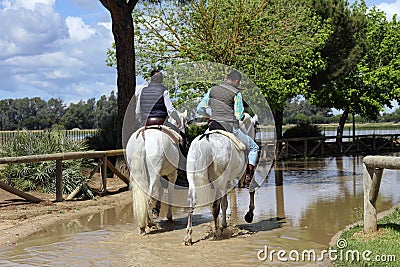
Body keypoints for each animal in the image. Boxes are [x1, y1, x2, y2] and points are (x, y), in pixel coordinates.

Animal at [184, 114, 256, 246]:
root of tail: (206, 141)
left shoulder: (226, 183)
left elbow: (224, 203)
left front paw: (224, 224)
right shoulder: (231, 181)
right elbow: (250, 190)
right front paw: (249, 215)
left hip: (193, 181)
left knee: (192, 204)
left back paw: (188, 237)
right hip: (220, 181)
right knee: (214, 207)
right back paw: (217, 232)